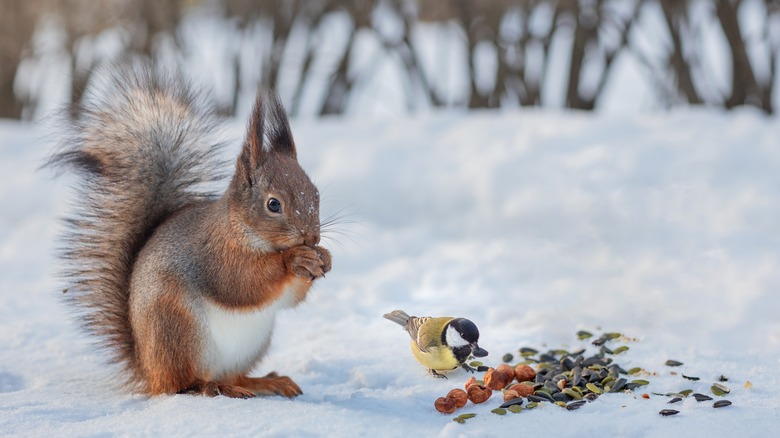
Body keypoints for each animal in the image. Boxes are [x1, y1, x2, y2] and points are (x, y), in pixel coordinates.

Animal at [48, 60, 330, 398]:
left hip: (250, 344)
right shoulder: (215, 253)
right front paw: (295, 260)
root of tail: (147, 368)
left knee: (234, 375)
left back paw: (262, 381)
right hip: (178, 329)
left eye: (316, 193)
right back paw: (211, 386)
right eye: (273, 204)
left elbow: (289, 300)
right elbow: (243, 282)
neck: (241, 228)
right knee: (180, 384)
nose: (312, 236)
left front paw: (324, 258)